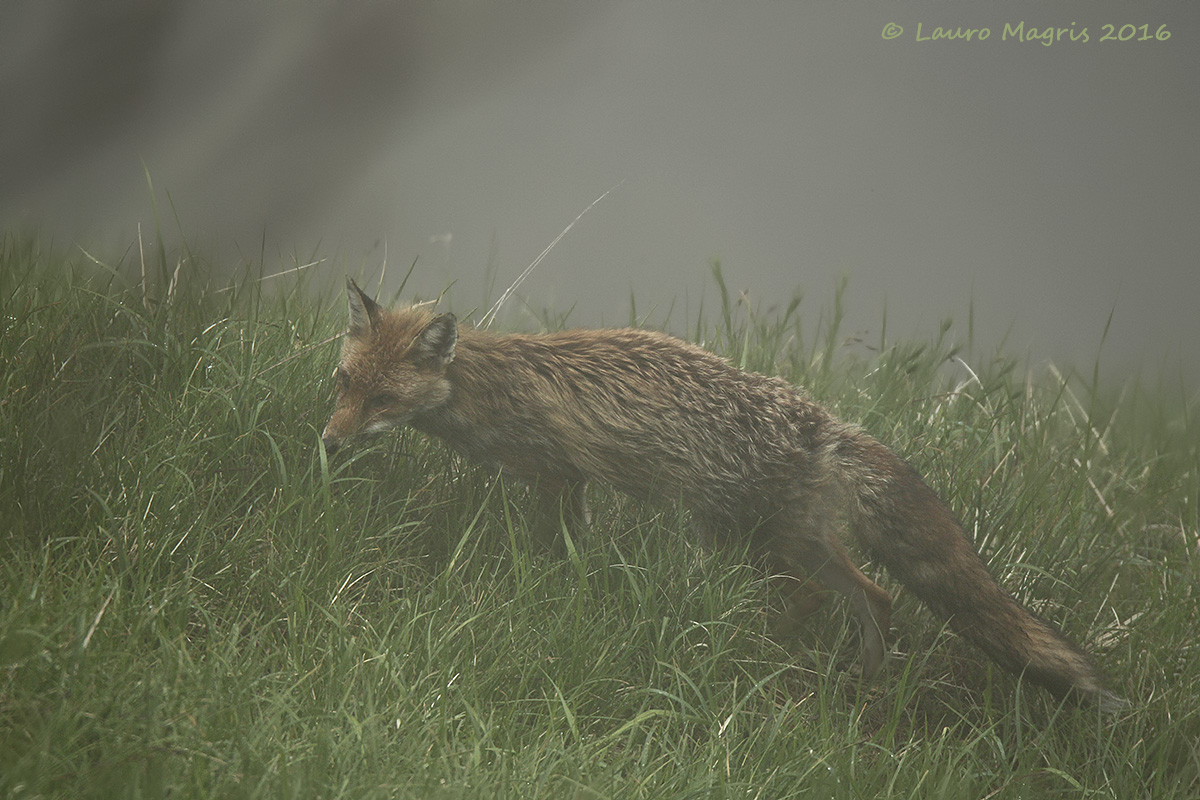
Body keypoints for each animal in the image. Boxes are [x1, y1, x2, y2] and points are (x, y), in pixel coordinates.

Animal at [322, 278, 1126, 712]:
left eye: (384, 398)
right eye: (344, 383)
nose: (327, 444)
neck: (485, 387)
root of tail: (826, 425)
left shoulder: (558, 473)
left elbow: (558, 543)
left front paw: (551, 580)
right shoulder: (570, 481)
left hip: (761, 539)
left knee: (830, 596)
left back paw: (784, 654)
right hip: (777, 536)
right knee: (871, 597)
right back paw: (856, 685)